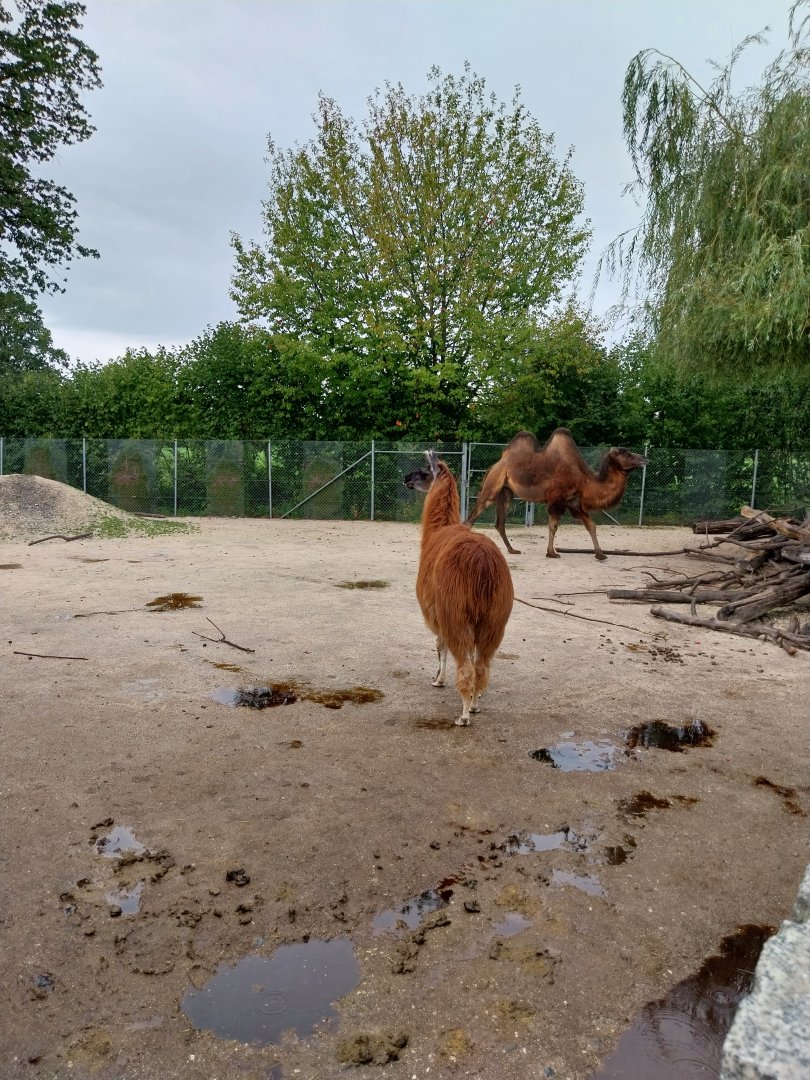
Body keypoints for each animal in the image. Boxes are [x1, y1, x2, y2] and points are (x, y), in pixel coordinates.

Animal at [465, 428, 647, 560]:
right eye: (625, 452)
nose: (645, 458)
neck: (584, 479)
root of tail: (493, 466)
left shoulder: (574, 502)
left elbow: (591, 526)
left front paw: (600, 554)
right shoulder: (556, 499)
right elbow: (553, 526)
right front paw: (552, 553)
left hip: (506, 492)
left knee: (499, 522)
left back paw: (512, 550)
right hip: (493, 483)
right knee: (473, 516)